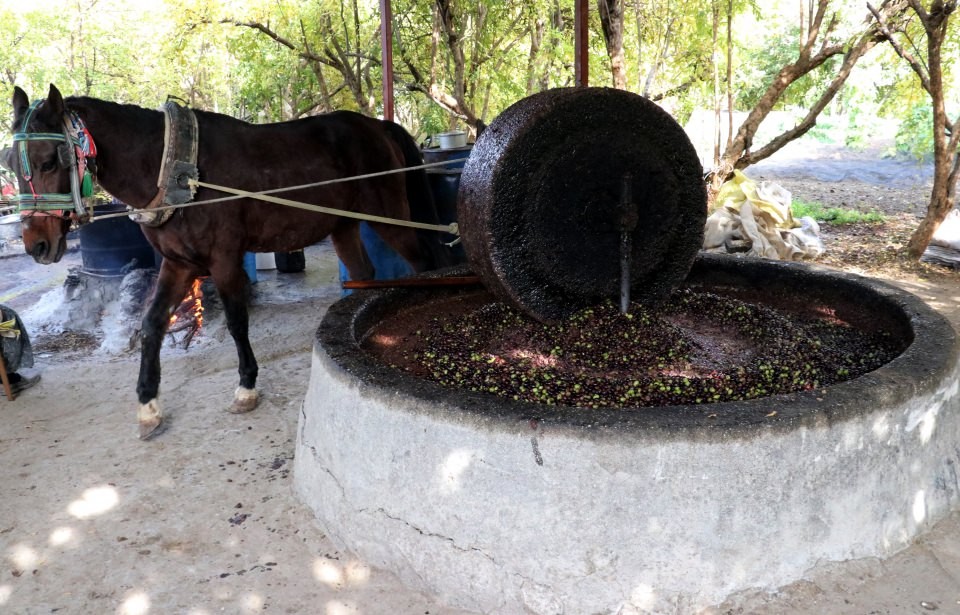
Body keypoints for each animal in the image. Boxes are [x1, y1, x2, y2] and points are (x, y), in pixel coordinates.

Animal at [10, 84, 454, 440]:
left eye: (50, 159)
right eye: (10, 164)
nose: (36, 245)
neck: (175, 168)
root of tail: (378, 125)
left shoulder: (224, 259)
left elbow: (238, 322)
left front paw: (246, 388)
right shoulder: (178, 263)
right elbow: (152, 325)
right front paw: (148, 406)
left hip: (389, 216)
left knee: (424, 261)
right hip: (342, 225)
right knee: (362, 274)